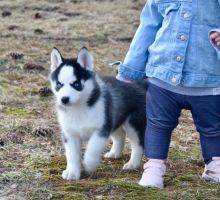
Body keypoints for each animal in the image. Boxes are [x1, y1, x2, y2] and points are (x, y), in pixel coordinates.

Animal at [49, 47, 146, 180]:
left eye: (77, 84)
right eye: (59, 84)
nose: (64, 99)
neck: (78, 109)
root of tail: (136, 84)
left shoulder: (101, 130)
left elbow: (93, 148)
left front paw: (89, 164)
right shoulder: (70, 134)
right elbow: (72, 155)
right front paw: (72, 172)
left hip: (133, 124)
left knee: (138, 144)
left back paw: (133, 164)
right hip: (114, 118)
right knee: (120, 135)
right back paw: (115, 153)